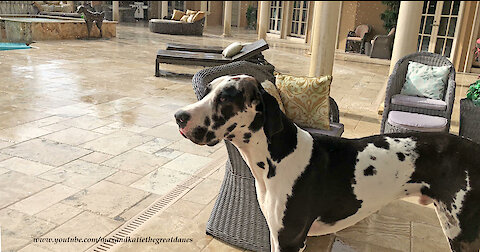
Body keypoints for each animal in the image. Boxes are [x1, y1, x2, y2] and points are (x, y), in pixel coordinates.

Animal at [175, 75, 480, 252]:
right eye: (207, 90)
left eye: (226, 97)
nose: (179, 116)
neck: (277, 156)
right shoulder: (275, 235)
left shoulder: (291, 240)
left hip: (462, 235)